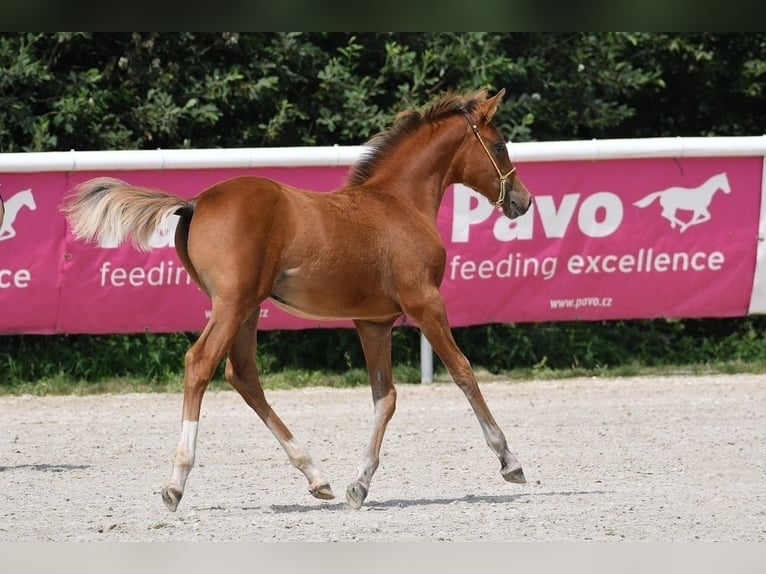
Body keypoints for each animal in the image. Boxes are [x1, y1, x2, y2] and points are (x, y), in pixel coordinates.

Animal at [61, 88, 533, 512]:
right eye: (500, 144)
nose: (523, 201)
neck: (400, 203)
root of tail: (194, 202)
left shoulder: (374, 322)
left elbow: (385, 397)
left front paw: (359, 485)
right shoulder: (425, 304)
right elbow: (463, 372)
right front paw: (510, 461)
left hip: (247, 308)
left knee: (242, 374)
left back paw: (316, 476)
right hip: (232, 304)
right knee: (201, 363)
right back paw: (176, 483)